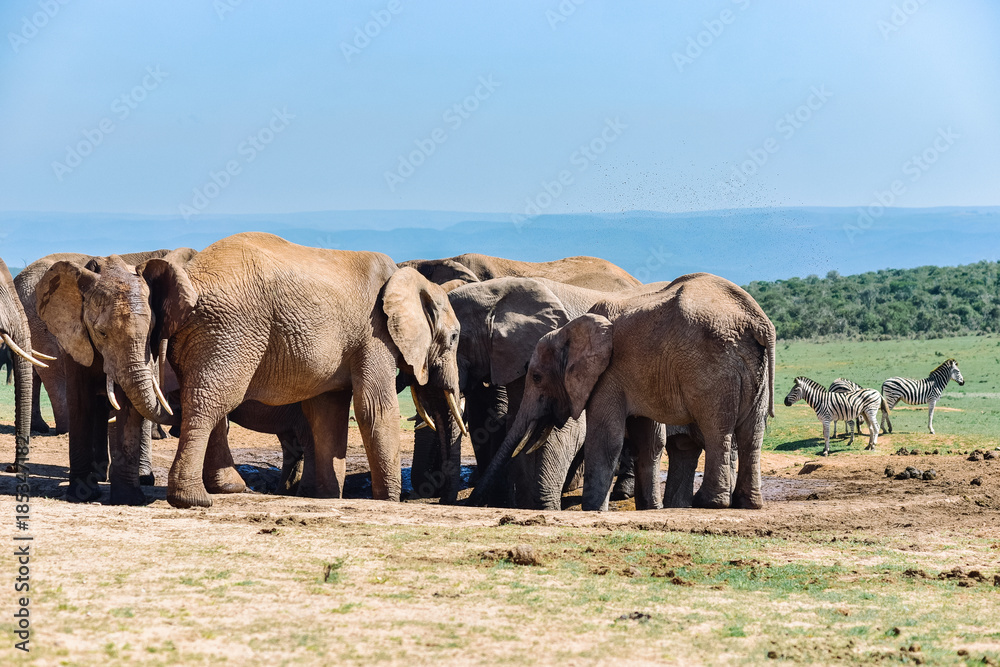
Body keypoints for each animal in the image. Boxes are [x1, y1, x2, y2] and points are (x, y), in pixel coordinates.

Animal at [35, 232, 464, 508]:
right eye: (457, 337)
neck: (412, 277)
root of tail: (194, 275)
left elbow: (327, 412)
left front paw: (325, 497)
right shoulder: (375, 334)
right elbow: (374, 409)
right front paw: (389, 500)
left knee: (207, 400)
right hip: (232, 329)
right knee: (210, 402)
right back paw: (195, 500)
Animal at [406, 276, 672, 512]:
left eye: (455, 339)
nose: (444, 501)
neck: (497, 291)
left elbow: (560, 429)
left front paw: (545, 507)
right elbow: (518, 425)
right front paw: (523, 505)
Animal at [472, 274, 776, 516]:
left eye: (535, 377)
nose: (475, 503)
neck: (568, 331)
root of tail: (758, 320)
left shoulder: (607, 375)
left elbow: (606, 438)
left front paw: (593, 510)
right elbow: (649, 439)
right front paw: (650, 508)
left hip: (713, 367)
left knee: (717, 428)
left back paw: (708, 503)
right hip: (751, 364)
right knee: (751, 432)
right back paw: (747, 503)